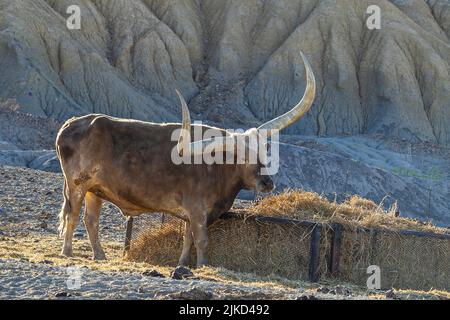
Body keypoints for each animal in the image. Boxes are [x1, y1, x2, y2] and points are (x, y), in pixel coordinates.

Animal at [56, 52, 316, 266]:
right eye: (240, 155)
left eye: (264, 149)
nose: (267, 183)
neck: (216, 168)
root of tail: (72, 123)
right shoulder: (198, 211)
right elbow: (201, 240)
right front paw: (202, 266)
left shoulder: (192, 214)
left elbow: (187, 239)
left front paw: (183, 264)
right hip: (76, 185)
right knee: (72, 215)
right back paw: (67, 253)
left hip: (95, 190)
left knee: (91, 220)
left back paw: (99, 255)